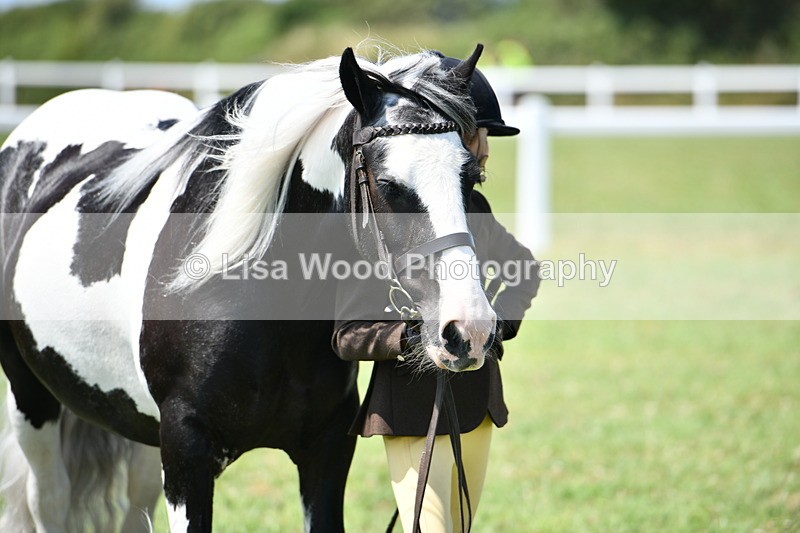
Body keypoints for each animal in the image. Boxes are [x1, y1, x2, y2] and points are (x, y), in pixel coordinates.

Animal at [0, 45, 498, 532]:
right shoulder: (185, 450)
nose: (469, 330)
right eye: (390, 185)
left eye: (471, 178)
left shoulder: (326, 449)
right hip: (31, 401)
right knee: (49, 502)